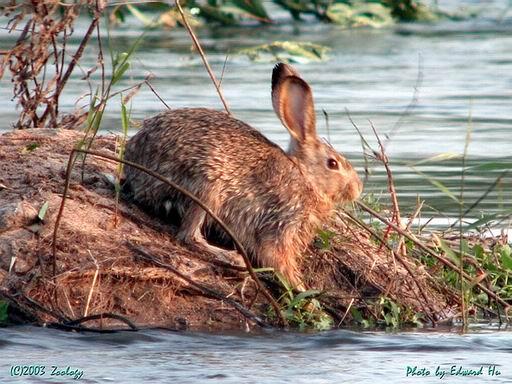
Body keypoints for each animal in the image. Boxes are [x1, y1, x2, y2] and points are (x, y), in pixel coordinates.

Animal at [123, 63, 362, 292]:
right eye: (332, 164)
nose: (358, 188)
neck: (305, 176)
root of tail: (135, 172)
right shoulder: (281, 221)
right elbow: (276, 258)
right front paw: (303, 292)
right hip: (207, 187)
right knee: (188, 235)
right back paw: (232, 257)